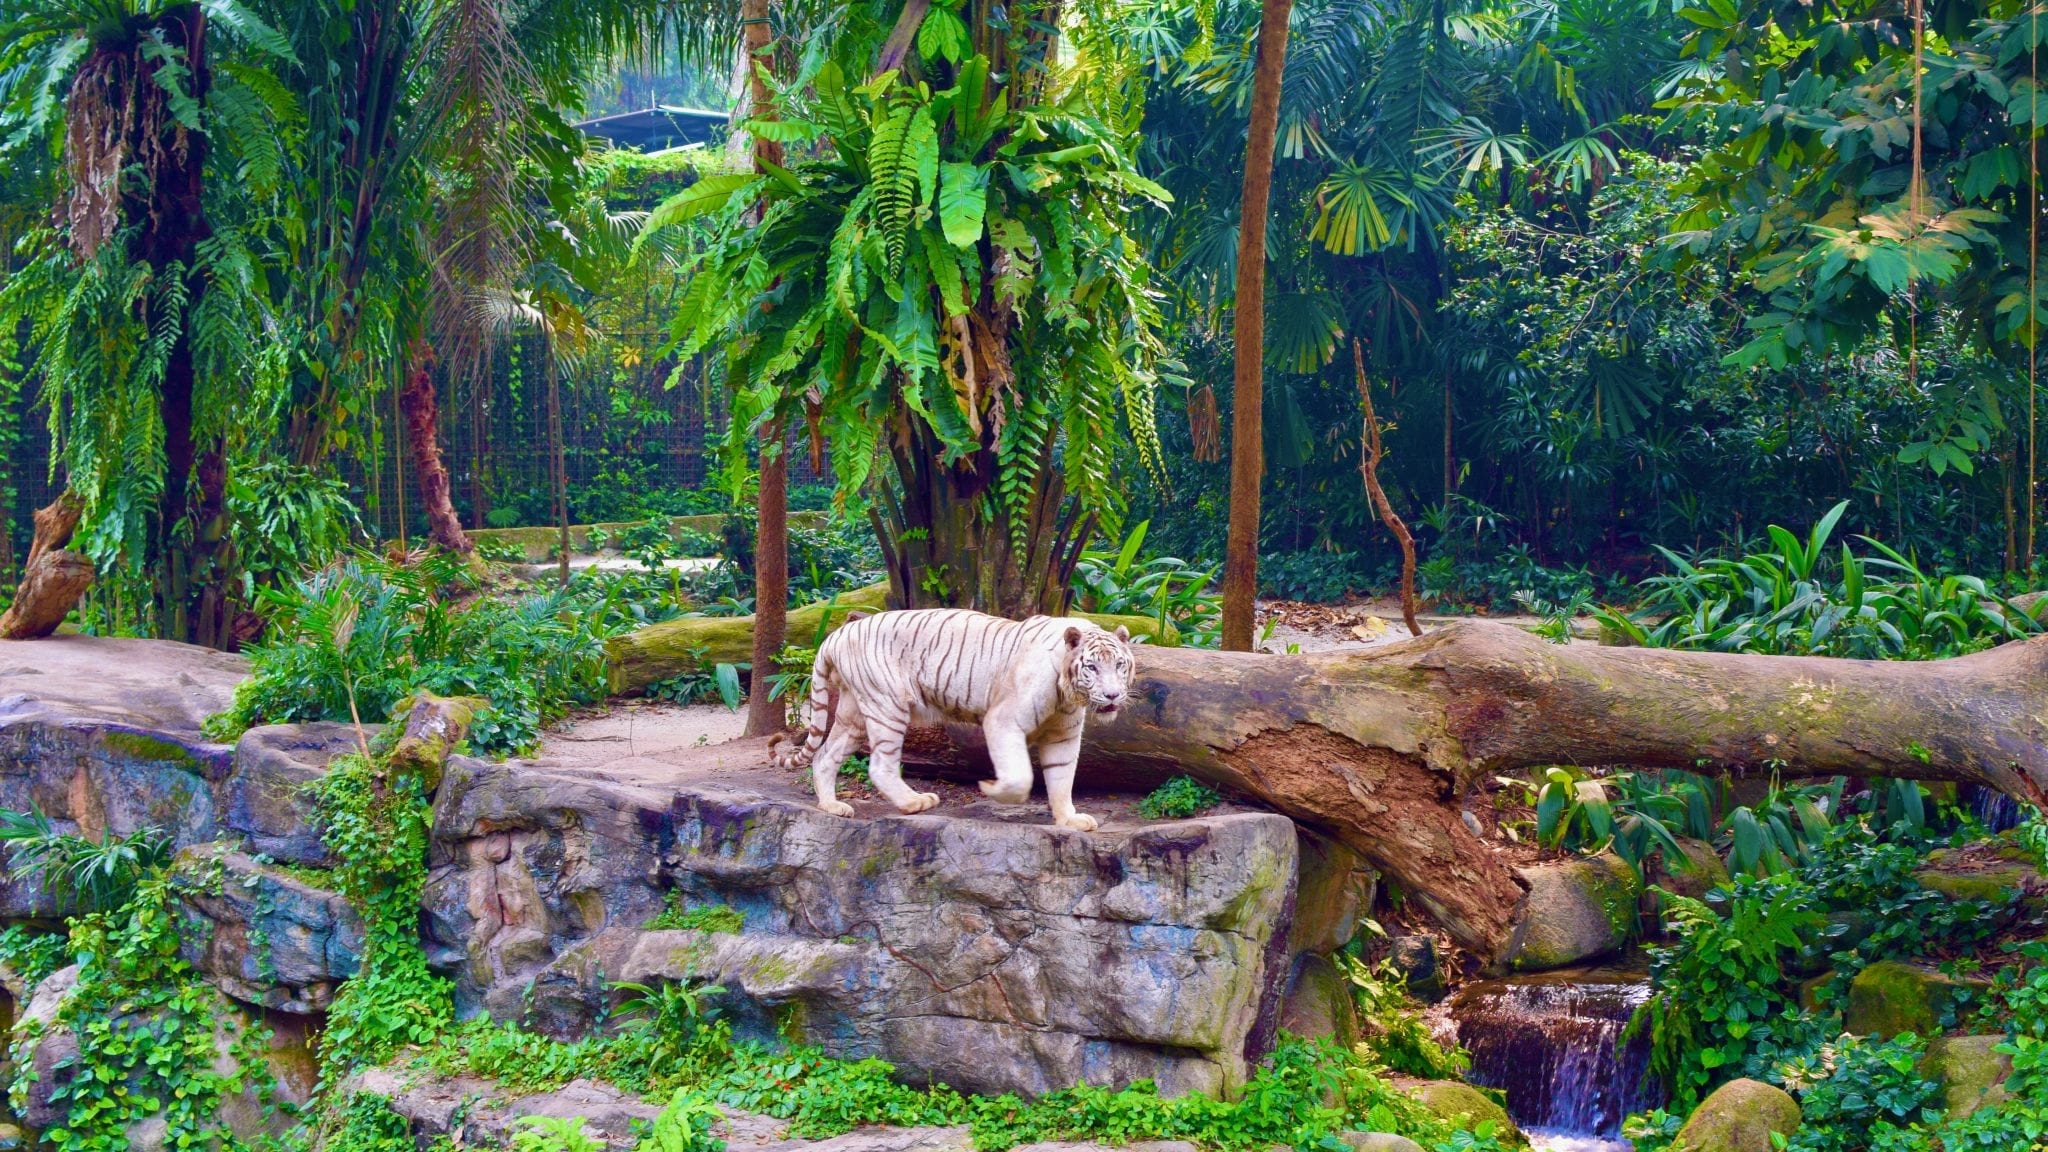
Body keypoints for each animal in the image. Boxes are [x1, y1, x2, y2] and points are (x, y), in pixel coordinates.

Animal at [774, 610, 1146, 824]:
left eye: (1120, 665)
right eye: (1092, 667)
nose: (1112, 696)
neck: (1068, 693)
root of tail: (836, 634)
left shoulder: (1064, 735)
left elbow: (1062, 778)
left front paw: (1069, 820)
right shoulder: (1003, 720)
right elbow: (1020, 777)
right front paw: (992, 789)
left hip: (854, 714)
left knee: (825, 756)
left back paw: (832, 807)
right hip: (887, 706)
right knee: (879, 765)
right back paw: (914, 802)